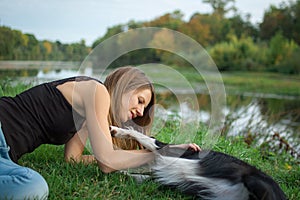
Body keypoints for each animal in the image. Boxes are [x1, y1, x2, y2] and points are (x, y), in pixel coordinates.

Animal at [109, 126, 286, 200]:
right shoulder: (160, 179)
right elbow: (129, 175)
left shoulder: (166, 149)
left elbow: (141, 135)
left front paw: (117, 130)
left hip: (255, 181)